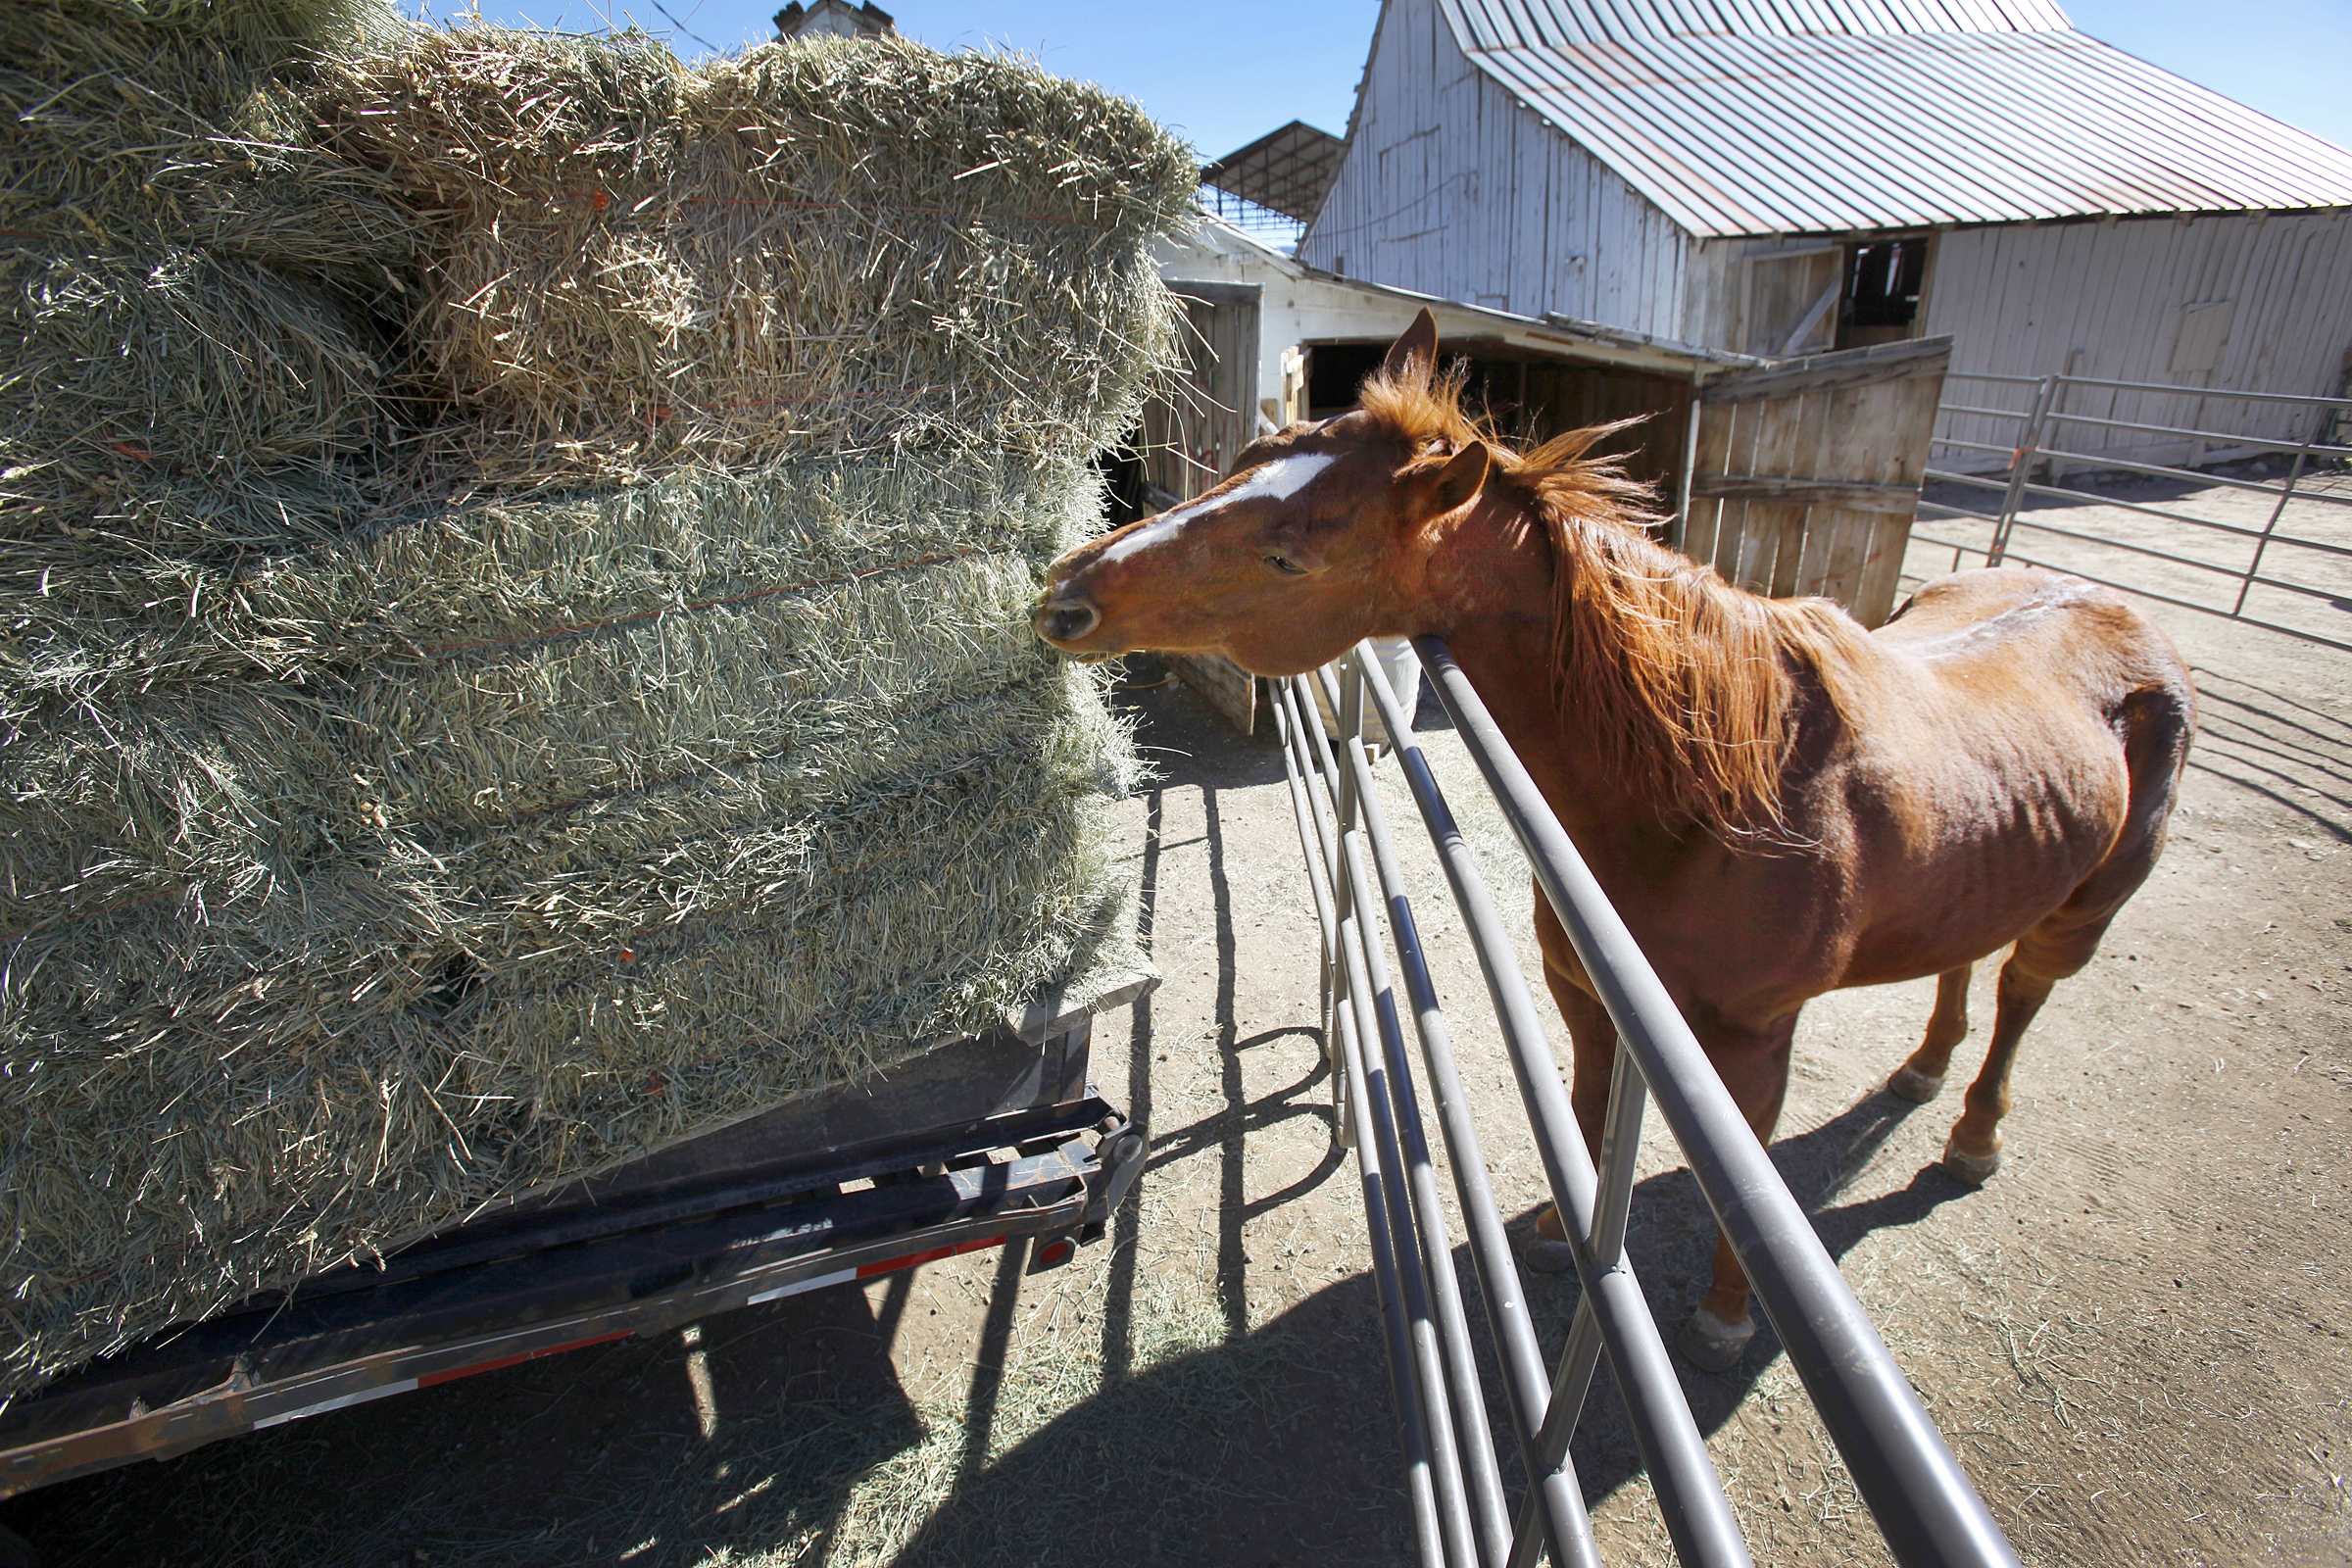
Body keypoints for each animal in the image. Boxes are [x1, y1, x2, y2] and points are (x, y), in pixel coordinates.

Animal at [1033, 309, 2195, 1369]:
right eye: (1244, 463)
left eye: (1285, 556)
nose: (1063, 595)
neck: (1713, 791)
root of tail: (2119, 613)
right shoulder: (1585, 994)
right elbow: (1587, 1116)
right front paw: (1559, 1230)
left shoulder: (1749, 1043)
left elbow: (1749, 1185)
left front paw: (1727, 1314)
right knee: (1967, 962)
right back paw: (1921, 1070)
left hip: (2084, 913)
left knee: (2021, 995)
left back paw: (1972, 1134)